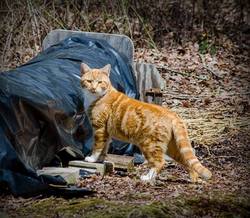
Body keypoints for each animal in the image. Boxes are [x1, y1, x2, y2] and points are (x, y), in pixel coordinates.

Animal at [81, 62, 212, 182]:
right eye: (89, 81)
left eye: (100, 82)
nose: (93, 88)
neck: (98, 97)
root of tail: (172, 114)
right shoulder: (106, 132)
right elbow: (104, 148)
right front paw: (100, 160)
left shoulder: (99, 129)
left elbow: (97, 146)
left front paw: (92, 159)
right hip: (172, 147)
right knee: (186, 161)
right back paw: (193, 179)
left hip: (149, 145)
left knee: (160, 162)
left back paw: (147, 178)